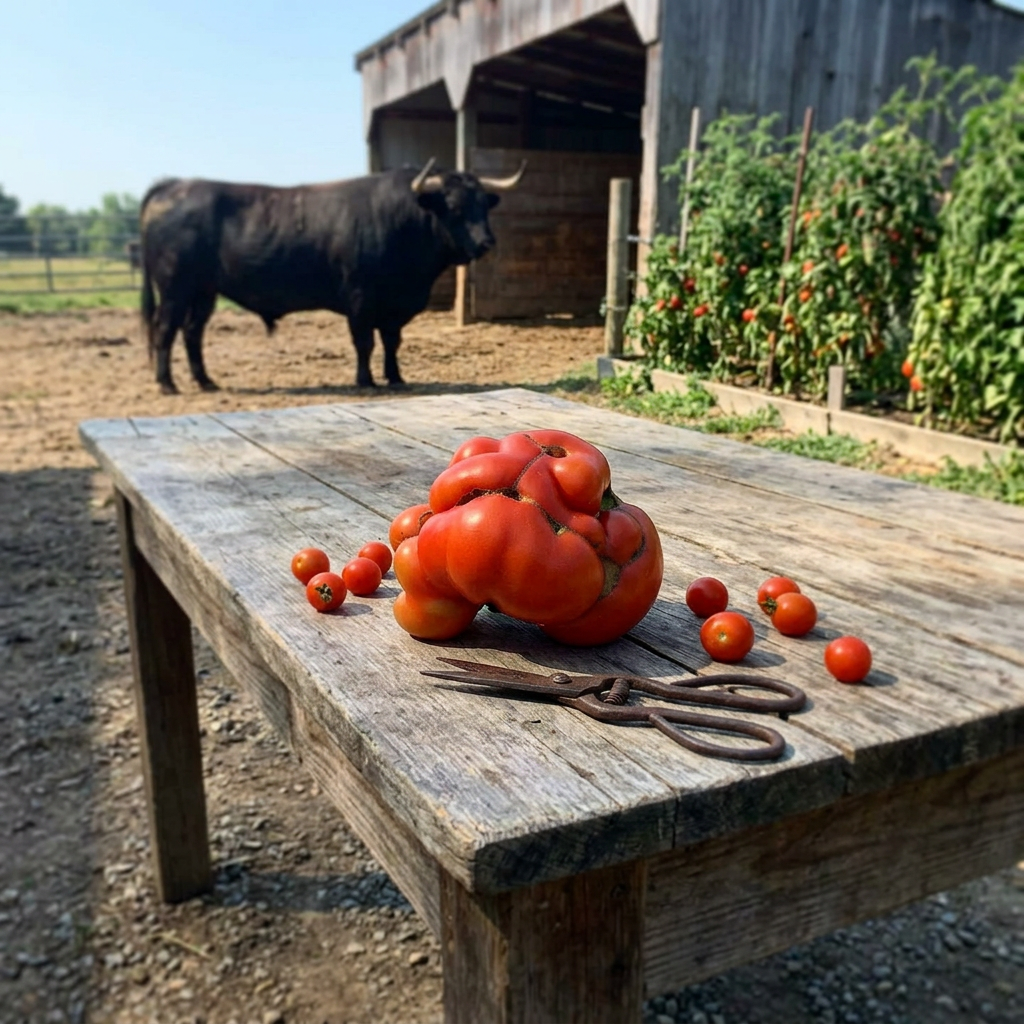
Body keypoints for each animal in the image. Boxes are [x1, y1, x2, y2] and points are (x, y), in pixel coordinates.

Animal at [138, 159, 525, 394]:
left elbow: (391, 341)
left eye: (483, 204)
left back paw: (205, 381)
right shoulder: (360, 299)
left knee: (192, 332)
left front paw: (396, 378)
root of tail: (173, 185)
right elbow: (364, 342)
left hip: (204, 291)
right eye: (455, 207)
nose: (486, 242)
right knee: (165, 329)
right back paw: (167, 384)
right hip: (174, 287)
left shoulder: (394, 306)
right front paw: (365, 381)